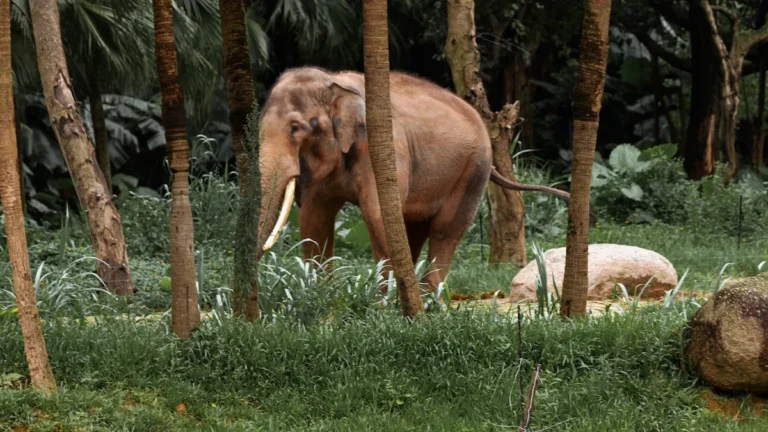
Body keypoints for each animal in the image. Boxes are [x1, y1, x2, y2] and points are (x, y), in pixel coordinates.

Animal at [257, 66, 569, 290]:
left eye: (295, 128)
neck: (334, 82)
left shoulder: (383, 150)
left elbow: (378, 217)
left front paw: (379, 310)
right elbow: (314, 219)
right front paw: (324, 300)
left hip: (473, 170)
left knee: (445, 231)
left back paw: (431, 301)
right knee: (414, 229)